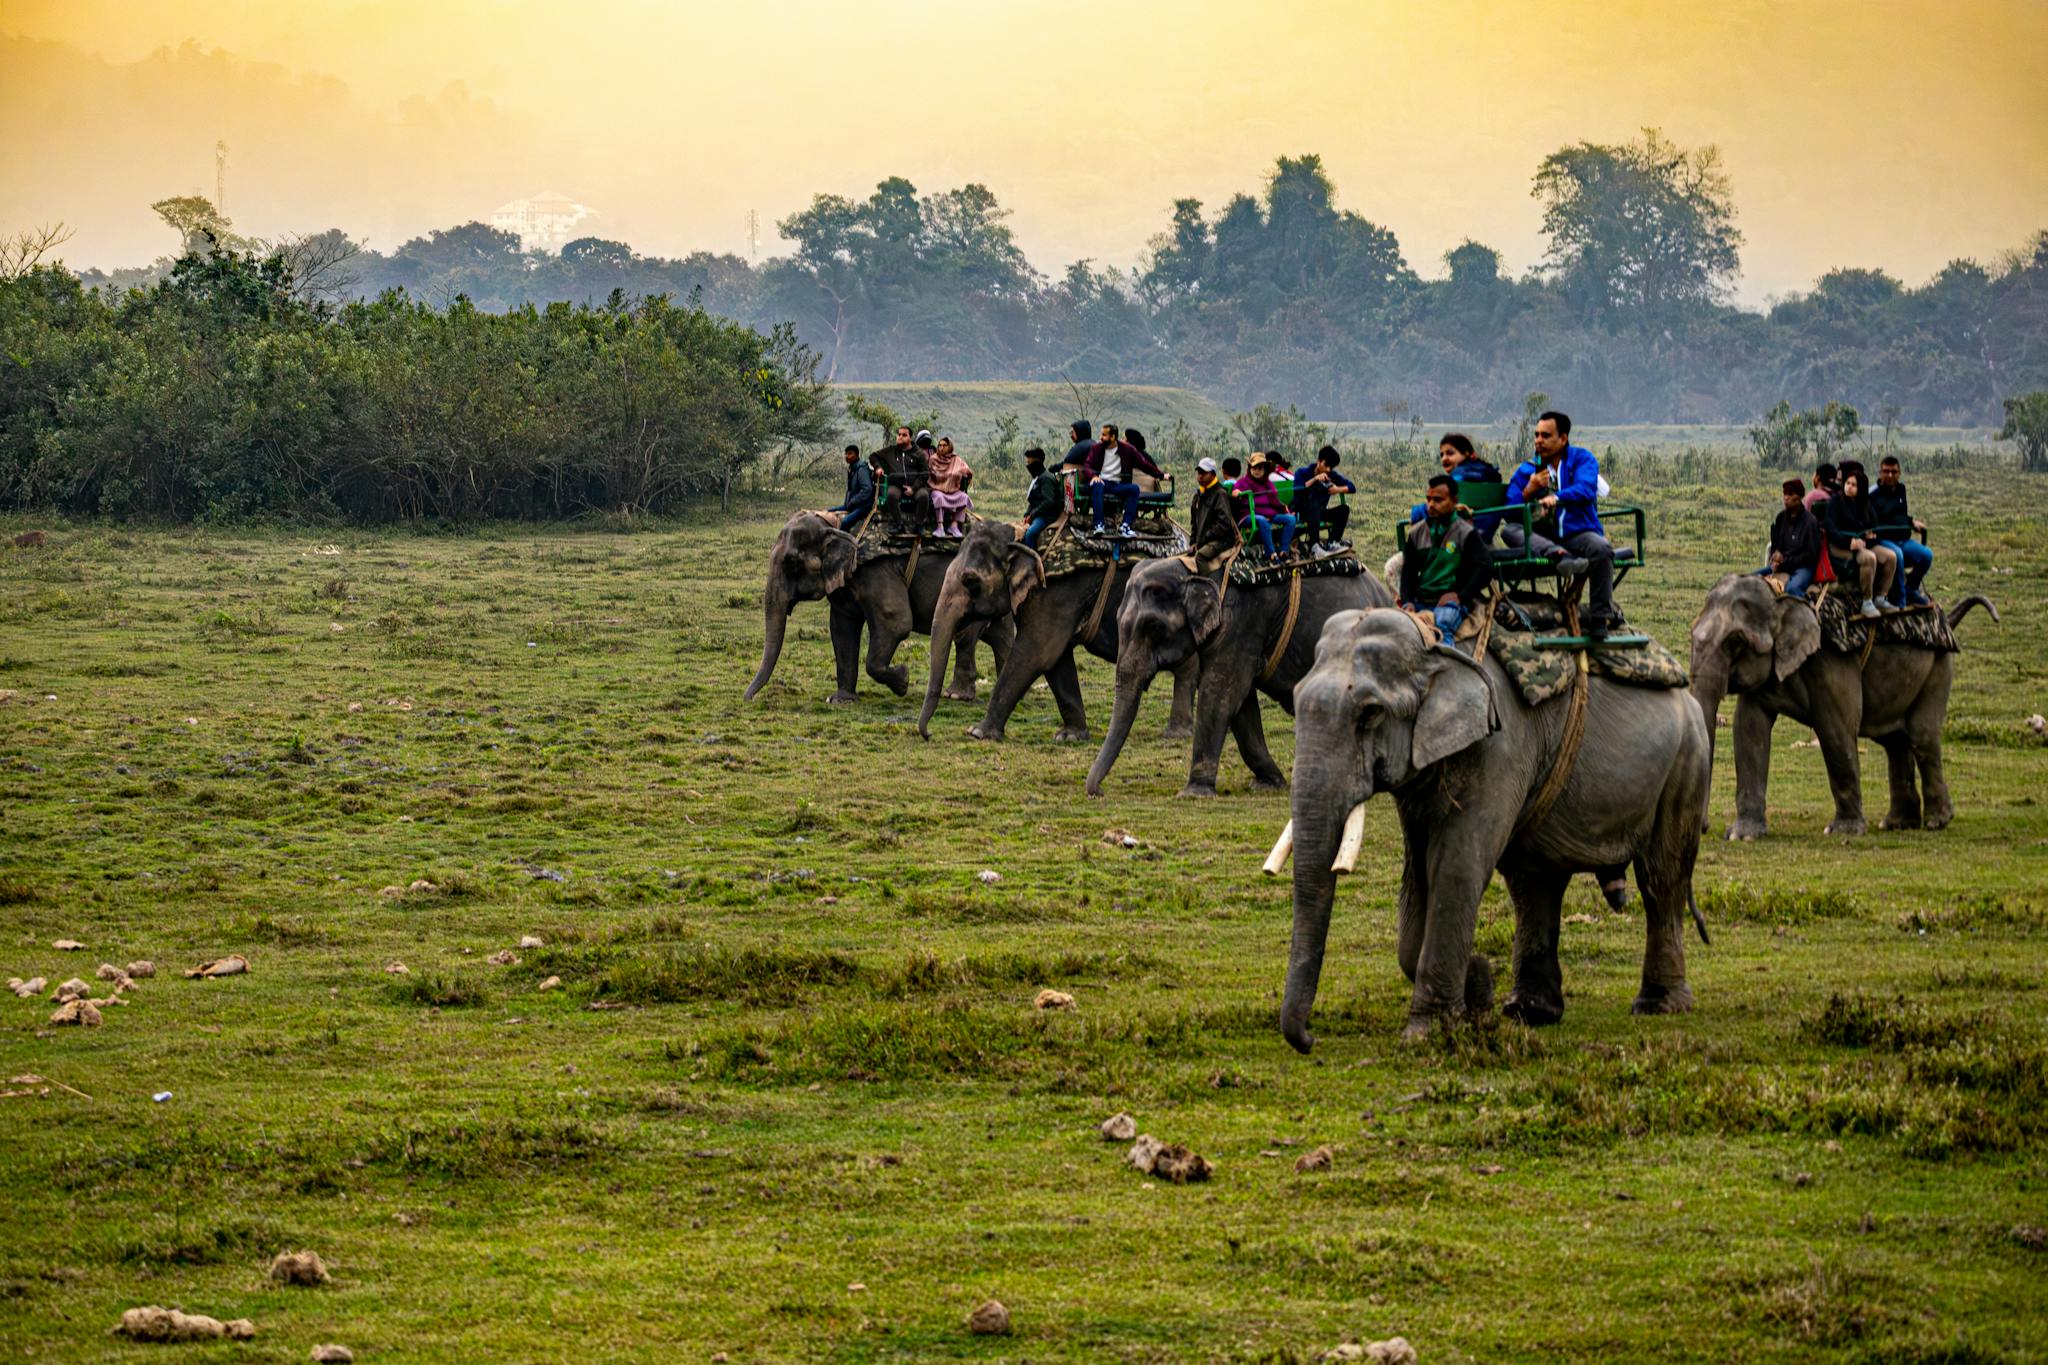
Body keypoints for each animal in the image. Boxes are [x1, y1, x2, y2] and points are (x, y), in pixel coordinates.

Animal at [745, 511, 1013, 704]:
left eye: (791, 562)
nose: (748, 698)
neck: (837, 523)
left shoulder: (876, 571)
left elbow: (896, 622)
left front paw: (903, 680)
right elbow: (841, 629)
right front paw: (840, 700)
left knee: (966, 637)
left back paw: (956, 695)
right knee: (1000, 636)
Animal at [916, 521, 1194, 743]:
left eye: (970, 581)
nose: (929, 734)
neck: (1023, 537)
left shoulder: (1058, 591)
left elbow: (1037, 652)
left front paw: (977, 732)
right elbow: (1057, 660)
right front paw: (1070, 736)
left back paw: (1176, 735)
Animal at [1086, 556, 1394, 798]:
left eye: (1153, 626)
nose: (1098, 792)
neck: (1196, 567)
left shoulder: (1244, 620)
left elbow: (1220, 693)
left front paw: (1193, 794)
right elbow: (1241, 705)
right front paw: (1269, 783)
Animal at [1279, 608, 1711, 1047]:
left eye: (1370, 713)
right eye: (1295, 700)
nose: (1309, 1041)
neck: (1435, 646)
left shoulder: (1500, 746)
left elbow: (1456, 867)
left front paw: (1431, 1032)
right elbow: (1417, 874)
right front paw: (1478, 989)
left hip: (1687, 763)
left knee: (1662, 877)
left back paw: (1658, 1005)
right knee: (1534, 884)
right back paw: (1530, 1011)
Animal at [1688, 574, 1998, 838]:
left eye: (1735, 641)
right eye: (1692, 635)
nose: (1704, 828)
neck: (1782, 595)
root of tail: (1943, 616)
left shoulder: (1831, 657)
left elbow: (1836, 728)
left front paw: (1843, 832)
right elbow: (1749, 730)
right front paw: (1742, 835)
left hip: (1938, 665)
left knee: (1922, 736)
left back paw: (1936, 822)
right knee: (1894, 742)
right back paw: (1897, 824)